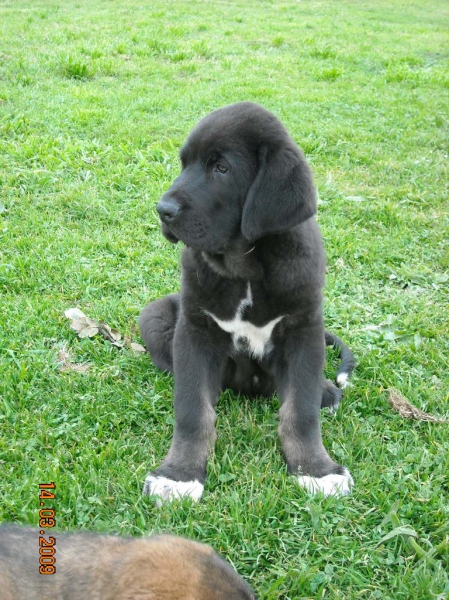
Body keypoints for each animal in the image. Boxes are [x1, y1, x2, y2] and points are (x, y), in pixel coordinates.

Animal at [140, 103, 354, 502]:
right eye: (184, 164)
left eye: (221, 168)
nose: (163, 210)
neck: (247, 270)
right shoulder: (196, 330)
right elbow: (192, 409)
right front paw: (180, 475)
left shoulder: (303, 329)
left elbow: (301, 411)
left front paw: (315, 469)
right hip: (155, 315)